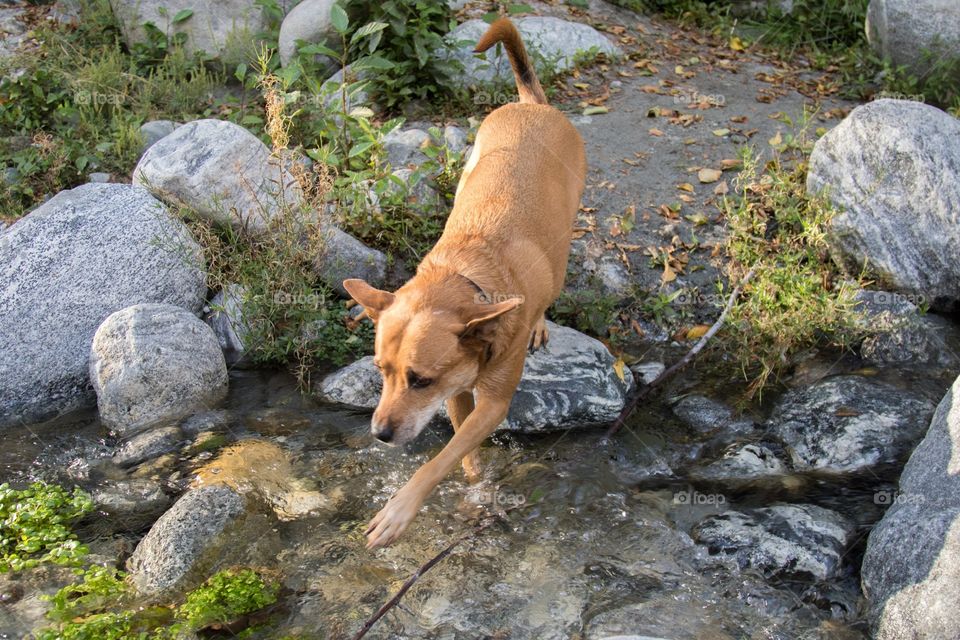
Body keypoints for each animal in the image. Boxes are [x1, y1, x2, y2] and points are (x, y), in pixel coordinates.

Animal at [344, 17, 584, 548]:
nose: (379, 435)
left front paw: (399, 510)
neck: (469, 280)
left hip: (567, 231)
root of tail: (533, 105)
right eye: (380, 371)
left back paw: (540, 321)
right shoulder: (457, 394)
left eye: (420, 380)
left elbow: (439, 460)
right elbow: (461, 453)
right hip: (470, 167)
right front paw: (477, 492)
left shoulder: (491, 401)